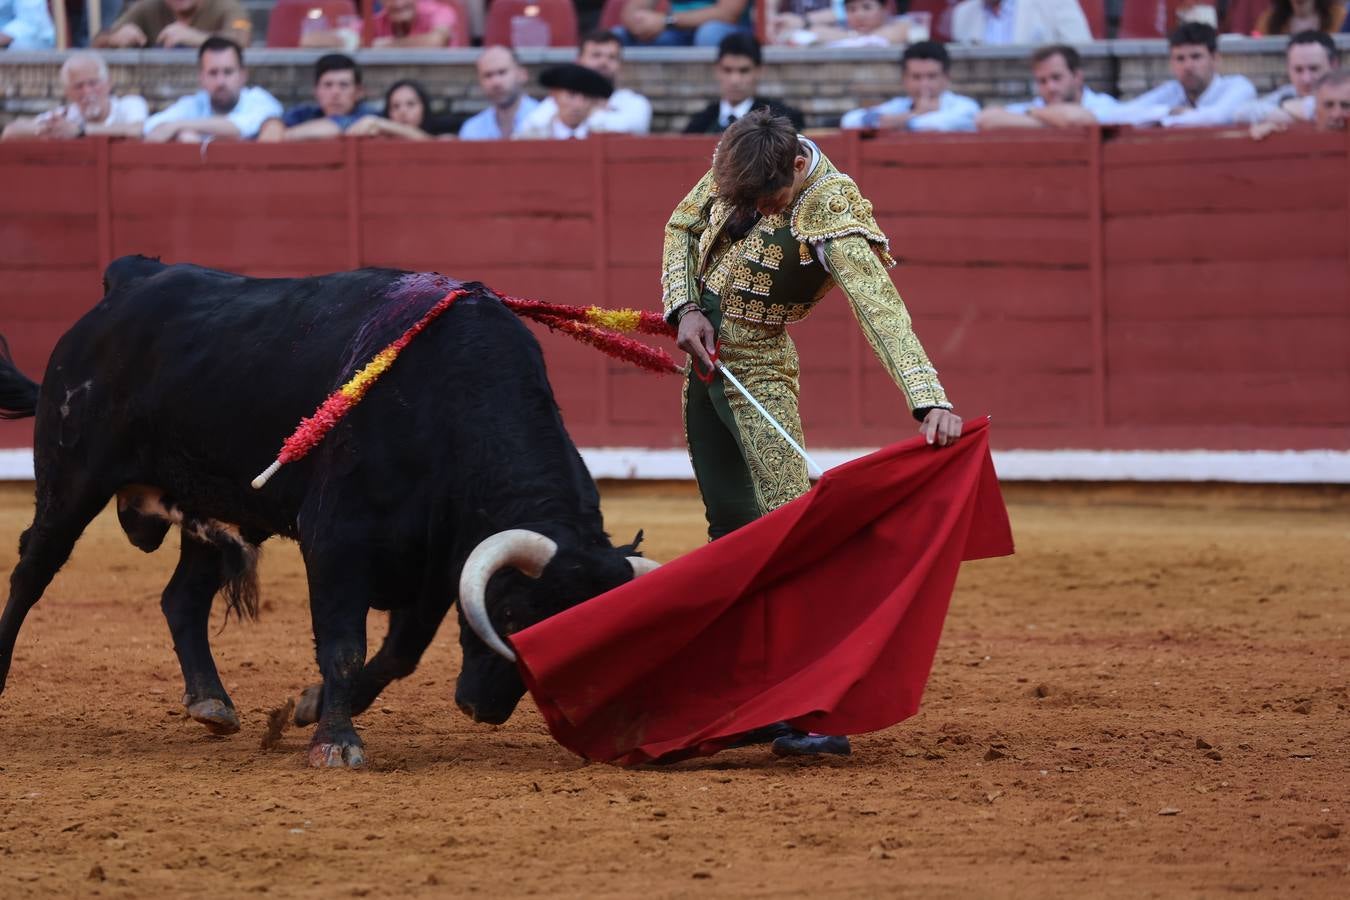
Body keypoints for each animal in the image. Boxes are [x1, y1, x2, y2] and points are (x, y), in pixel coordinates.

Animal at [0, 259, 658, 766]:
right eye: (516, 616)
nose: (484, 710)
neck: (447, 406)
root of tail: (128, 282)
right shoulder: (338, 542)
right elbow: (345, 643)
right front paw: (336, 742)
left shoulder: (437, 559)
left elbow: (399, 653)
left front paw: (313, 707)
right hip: (70, 481)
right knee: (31, 572)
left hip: (212, 503)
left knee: (181, 598)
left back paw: (212, 702)